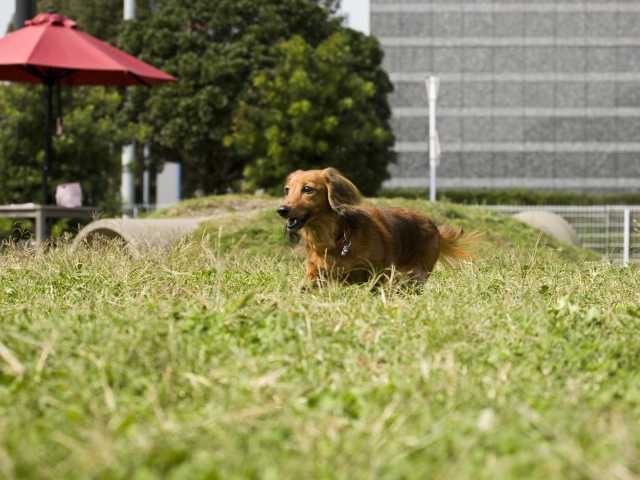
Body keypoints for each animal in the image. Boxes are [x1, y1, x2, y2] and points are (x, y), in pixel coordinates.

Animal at [277, 167, 479, 283]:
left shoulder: (378, 274)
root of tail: (434, 225)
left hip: (416, 274)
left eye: (307, 189)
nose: (281, 210)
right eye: (287, 190)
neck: (335, 240)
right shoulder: (316, 272)